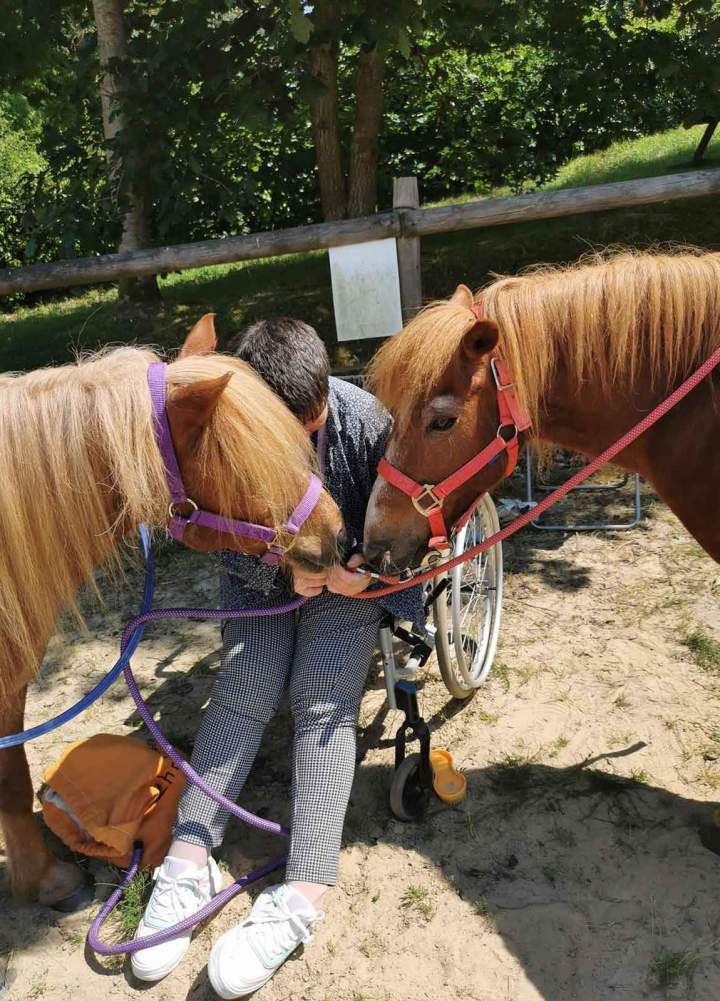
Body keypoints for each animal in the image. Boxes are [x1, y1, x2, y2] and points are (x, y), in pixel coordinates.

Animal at [0, 314, 343, 908]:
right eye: (252, 471)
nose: (337, 534)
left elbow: (14, 781)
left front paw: (37, 879)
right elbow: (11, 783)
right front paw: (44, 879)